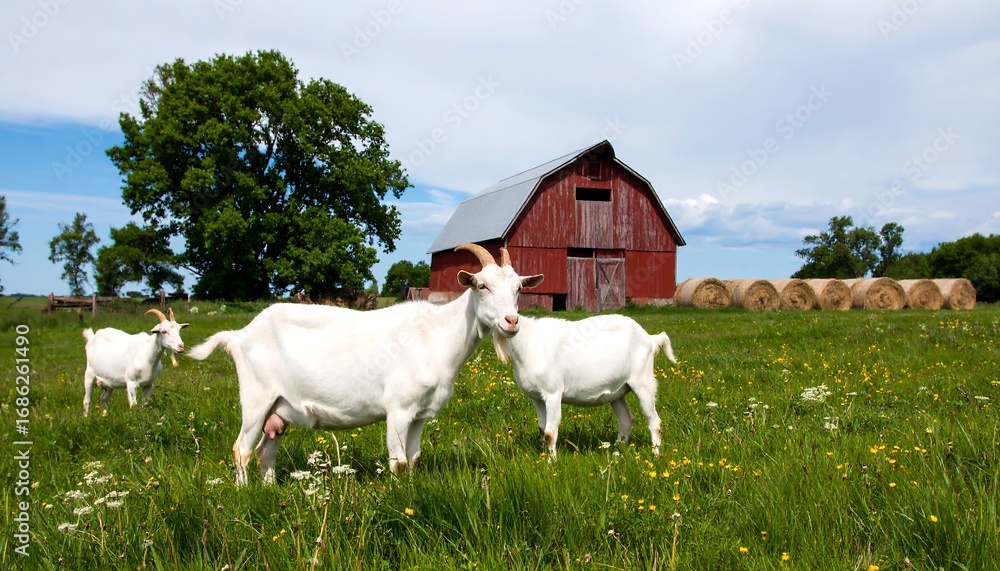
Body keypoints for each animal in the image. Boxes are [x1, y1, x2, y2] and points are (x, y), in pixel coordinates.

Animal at [187, 244, 544, 485]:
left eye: (518, 288)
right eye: (482, 286)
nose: (512, 321)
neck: (436, 335)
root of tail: (239, 336)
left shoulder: (419, 413)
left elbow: (414, 458)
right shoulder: (398, 409)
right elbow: (398, 462)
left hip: (279, 407)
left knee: (266, 450)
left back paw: (269, 489)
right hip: (256, 396)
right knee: (242, 449)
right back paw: (243, 493)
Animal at [492, 289, 677, 459]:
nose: (510, 322)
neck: (529, 341)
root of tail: (650, 338)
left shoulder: (552, 393)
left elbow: (550, 433)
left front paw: (551, 463)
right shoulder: (536, 397)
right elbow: (542, 429)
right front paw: (544, 457)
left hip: (642, 382)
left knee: (654, 421)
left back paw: (655, 454)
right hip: (618, 391)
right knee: (626, 419)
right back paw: (616, 451)